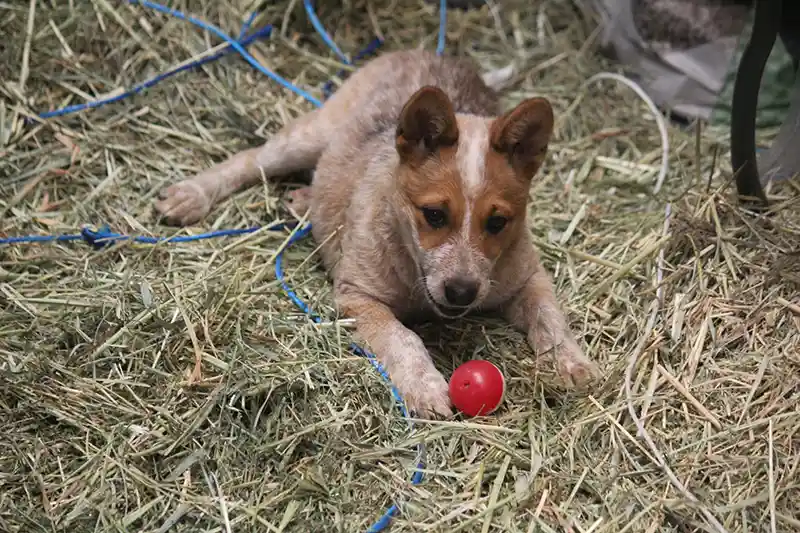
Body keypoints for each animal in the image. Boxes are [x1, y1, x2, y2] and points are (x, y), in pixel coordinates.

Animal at [156, 48, 596, 416]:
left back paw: (303, 200)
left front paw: (571, 362)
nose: (461, 292)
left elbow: (549, 316)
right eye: (434, 215)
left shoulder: (529, 277)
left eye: (497, 223)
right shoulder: (357, 297)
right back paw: (191, 195)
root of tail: (441, 54)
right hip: (311, 133)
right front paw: (425, 387)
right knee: (253, 159)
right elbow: (401, 338)